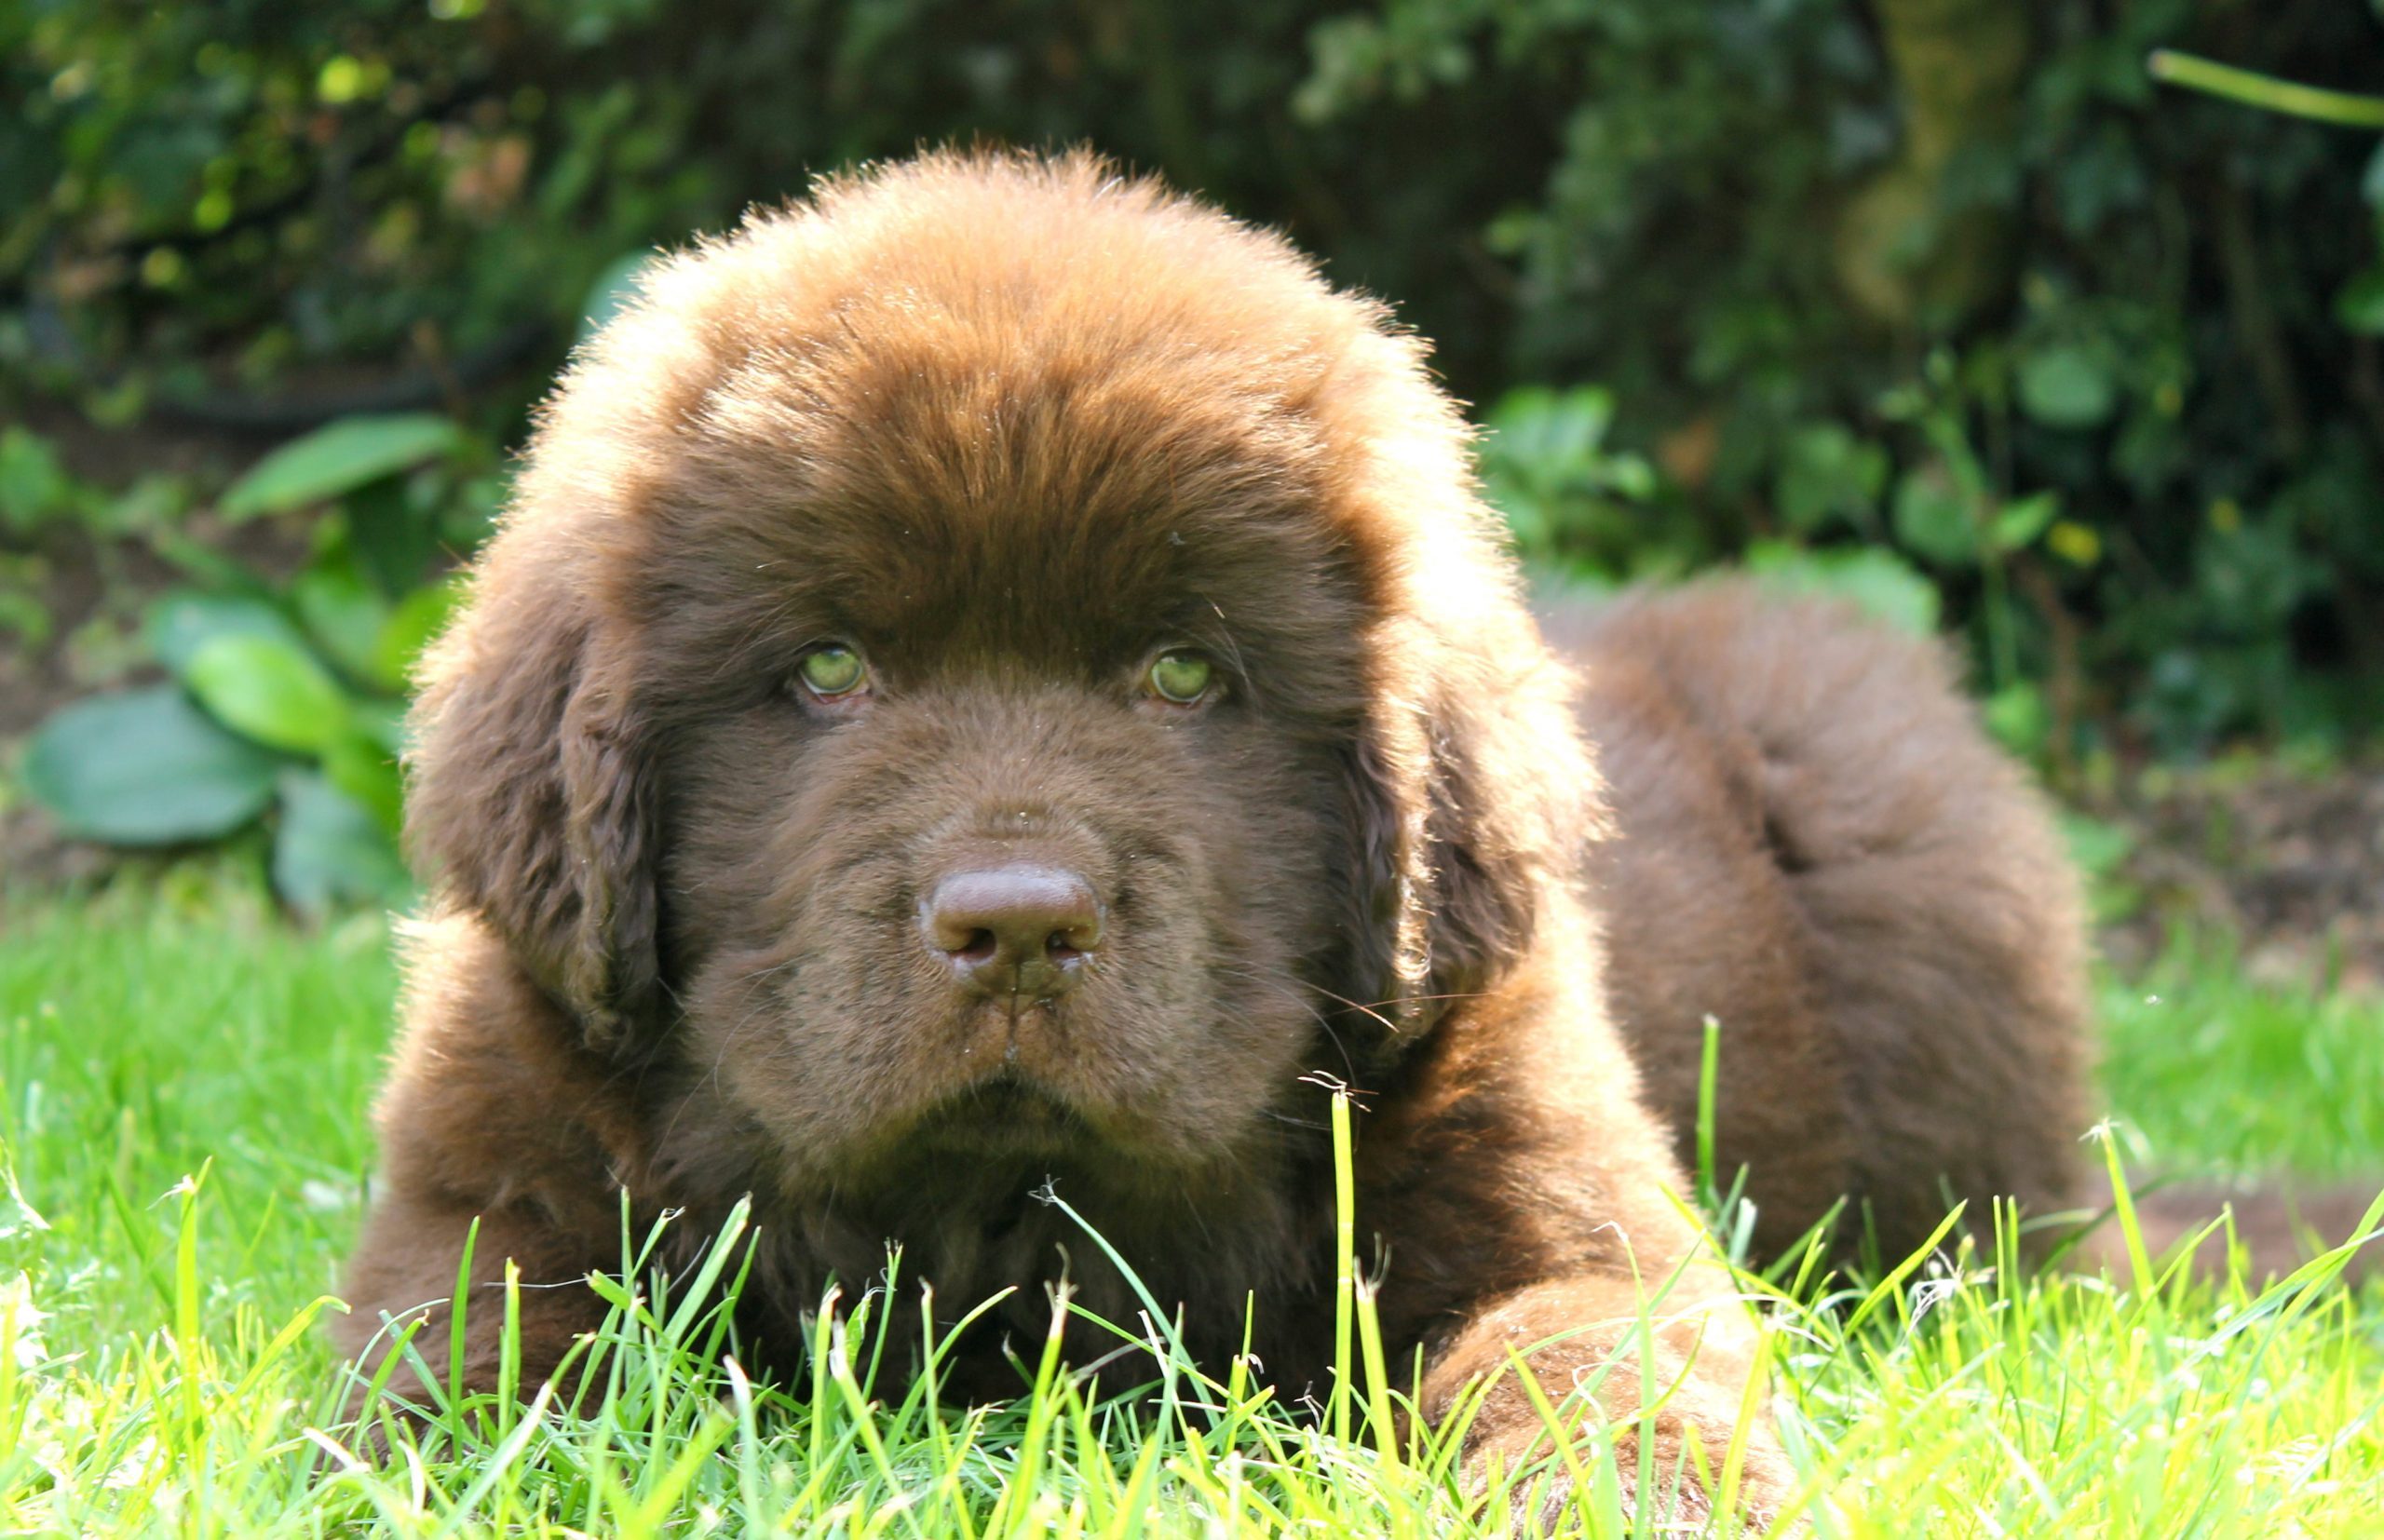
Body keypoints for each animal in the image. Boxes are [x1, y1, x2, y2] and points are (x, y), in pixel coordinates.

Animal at [335, 147, 2088, 1516]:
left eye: (1184, 673)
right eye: (827, 669)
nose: (1018, 922)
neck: (1005, 1206)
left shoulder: (1558, 1189)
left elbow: (1597, 1352)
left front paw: (1636, 1497)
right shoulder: (492, 1189)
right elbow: (465, 1375)